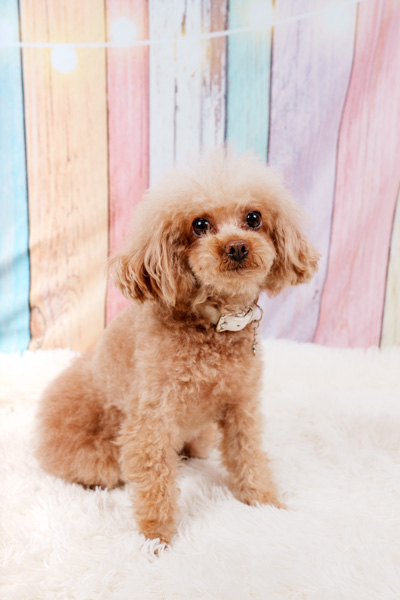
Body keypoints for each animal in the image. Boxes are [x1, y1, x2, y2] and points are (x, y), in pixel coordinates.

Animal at [36, 149, 320, 544]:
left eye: (254, 218)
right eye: (199, 225)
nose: (237, 247)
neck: (214, 324)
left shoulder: (241, 405)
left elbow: (248, 455)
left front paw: (266, 504)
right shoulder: (152, 419)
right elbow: (155, 478)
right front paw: (156, 539)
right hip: (97, 453)